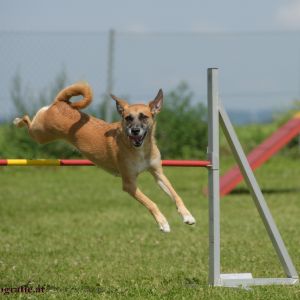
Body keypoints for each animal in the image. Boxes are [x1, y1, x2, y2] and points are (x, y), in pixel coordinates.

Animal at [14, 82, 196, 232]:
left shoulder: (158, 174)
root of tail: (61, 103)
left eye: (144, 117)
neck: (140, 150)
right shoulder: (129, 185)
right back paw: (17, 120)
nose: (135, 131)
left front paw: (187, 216)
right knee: (28, 120)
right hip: (40, 134)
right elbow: (151, 203)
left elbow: (175, 195)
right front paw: (163, 223)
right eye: (128, 118)